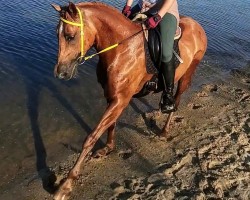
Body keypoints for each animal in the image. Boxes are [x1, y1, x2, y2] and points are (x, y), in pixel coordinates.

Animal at [51, 1, 207, 200]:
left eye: (70, 36)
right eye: (57, 34)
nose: (60, 73)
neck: (121, 48)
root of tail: (198, 26)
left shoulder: (121, 99)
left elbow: (91, 137)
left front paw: (66, 185)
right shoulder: (114, 97)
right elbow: (111, 124)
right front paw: (108, 148)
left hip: (187, 74)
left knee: (176, 102)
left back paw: (164, 130)